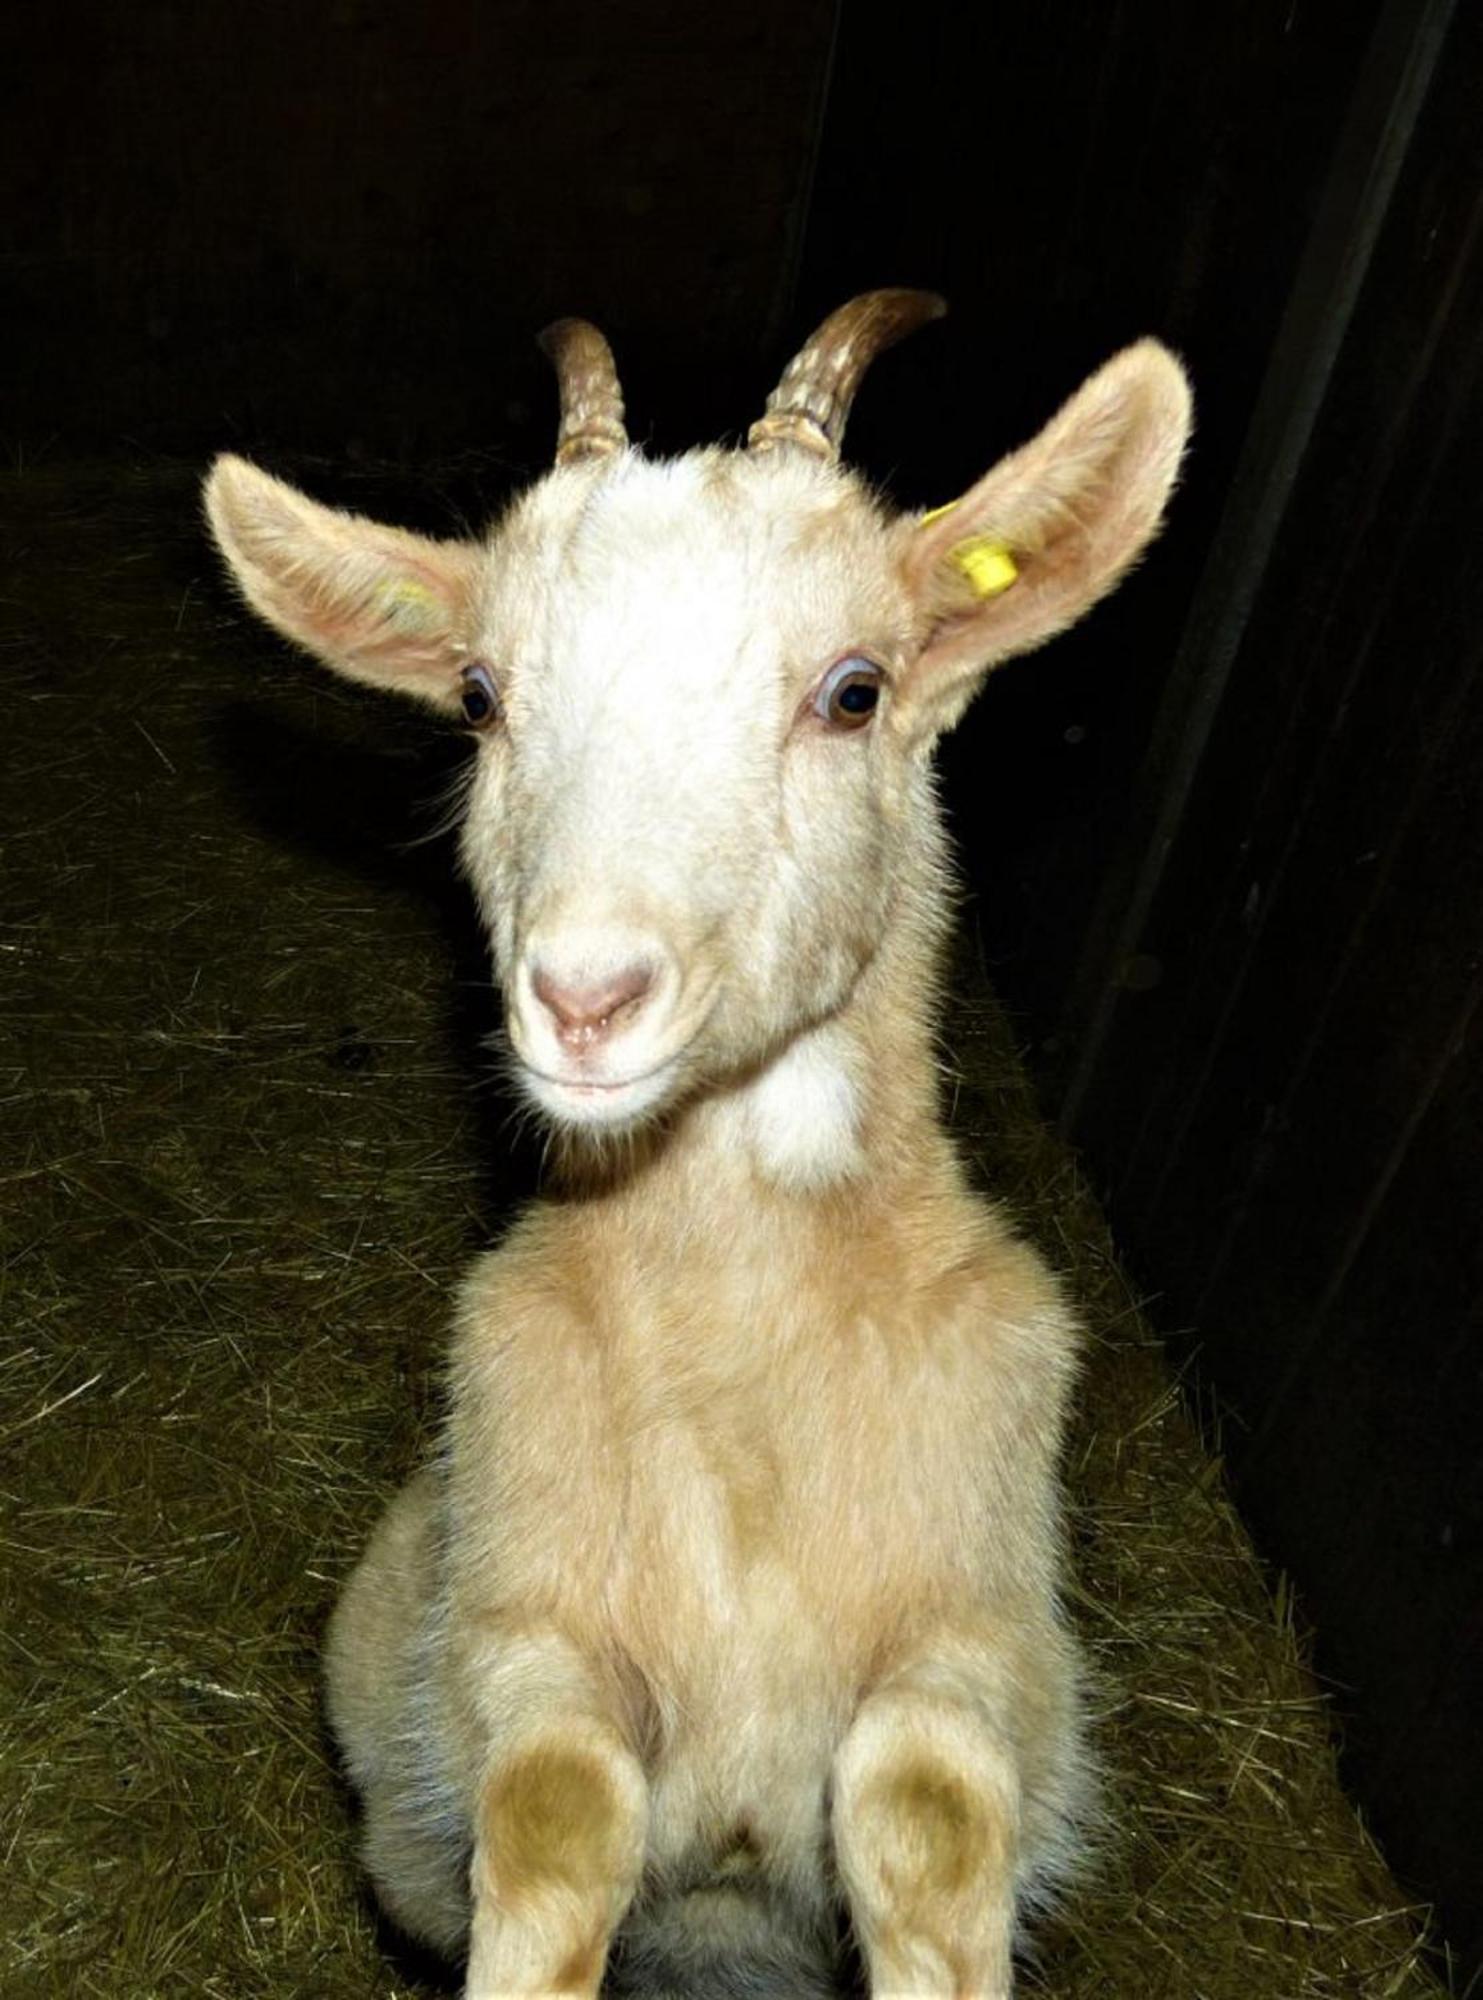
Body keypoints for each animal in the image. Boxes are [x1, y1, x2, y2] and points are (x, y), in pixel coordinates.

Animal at [202, 296, 1199, 2000]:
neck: (747, 1369)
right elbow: (555, 1801)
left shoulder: (990, 1632)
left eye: (853, 691)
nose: (582, 998)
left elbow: (926, 1800)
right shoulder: (512, 1622)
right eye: (479, 695)